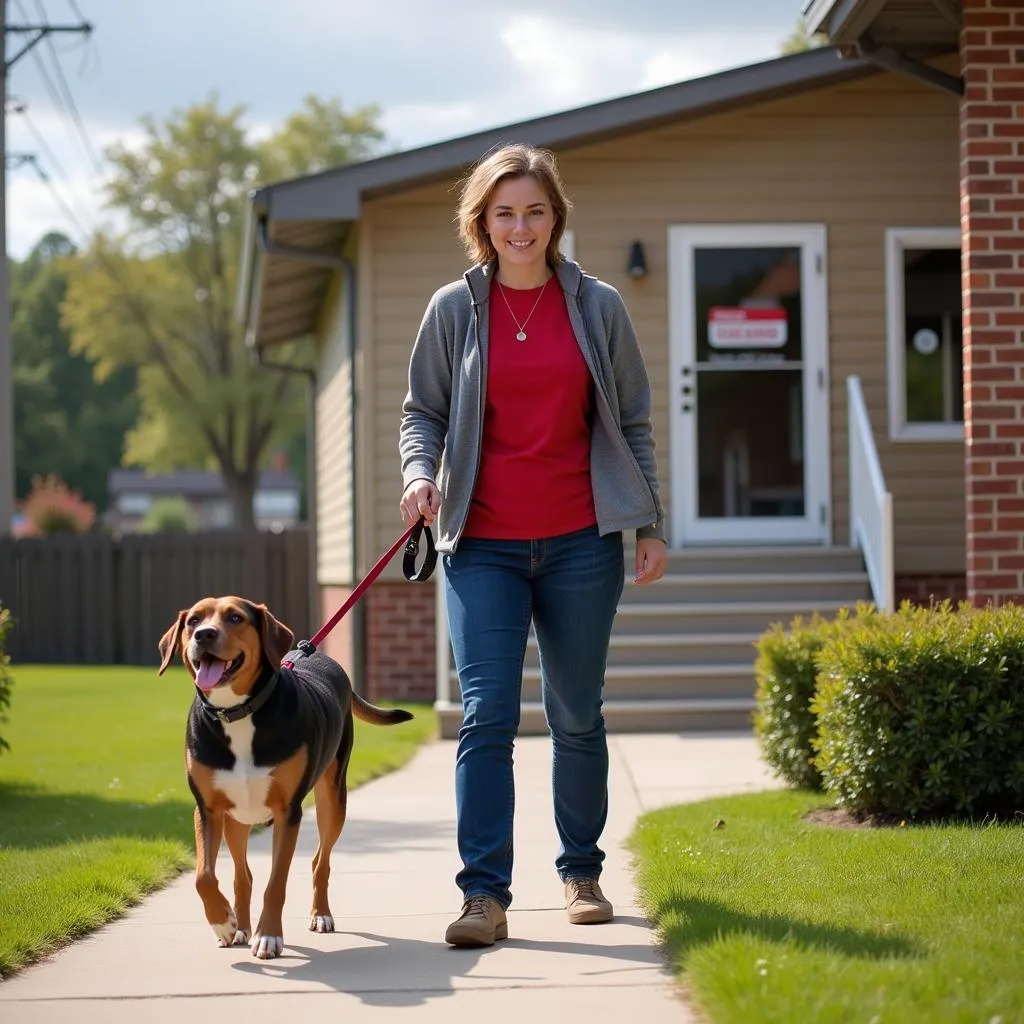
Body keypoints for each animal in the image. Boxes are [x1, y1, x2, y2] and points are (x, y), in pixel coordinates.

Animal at [156, 598, 411, 954]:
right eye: (193, 620)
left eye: (235, 617)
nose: (204, 634)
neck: (238, 712)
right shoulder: (208, 809)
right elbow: (204, 875)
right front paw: (222, 922)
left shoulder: (287, 811)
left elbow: (276, 882)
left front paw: (268, 936)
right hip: (237, 819)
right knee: (243, 876)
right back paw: (240, 927)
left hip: (333, 799)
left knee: (320, 861)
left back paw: (320, 915)